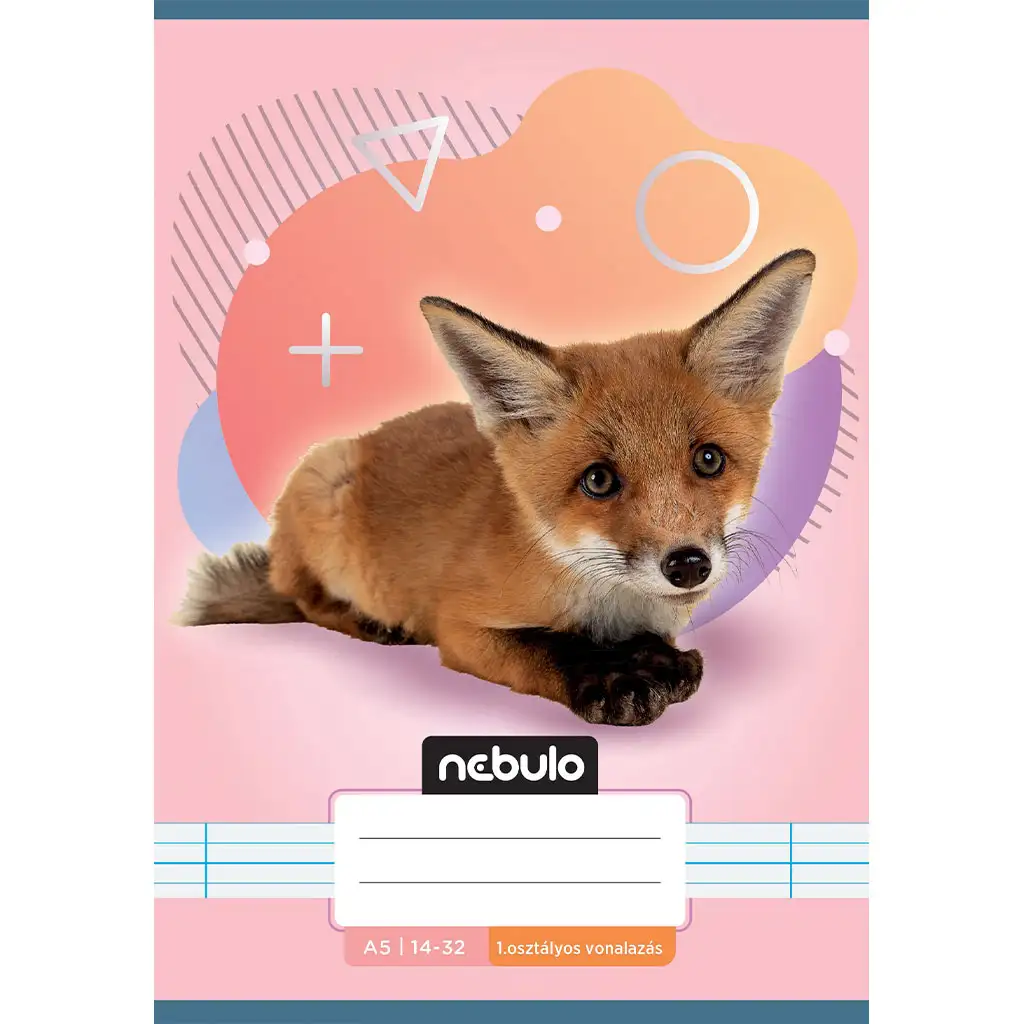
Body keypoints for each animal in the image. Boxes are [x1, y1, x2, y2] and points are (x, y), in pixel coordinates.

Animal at [178, 249, 815, 726]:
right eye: (599, 480)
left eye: (708, 460)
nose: (687, 565)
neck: (602, 602)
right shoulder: (460, 627)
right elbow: (542, 647)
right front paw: (608, 676)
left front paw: (653, 659)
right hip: (321, 482)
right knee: (306, 600)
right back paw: (371, 622)